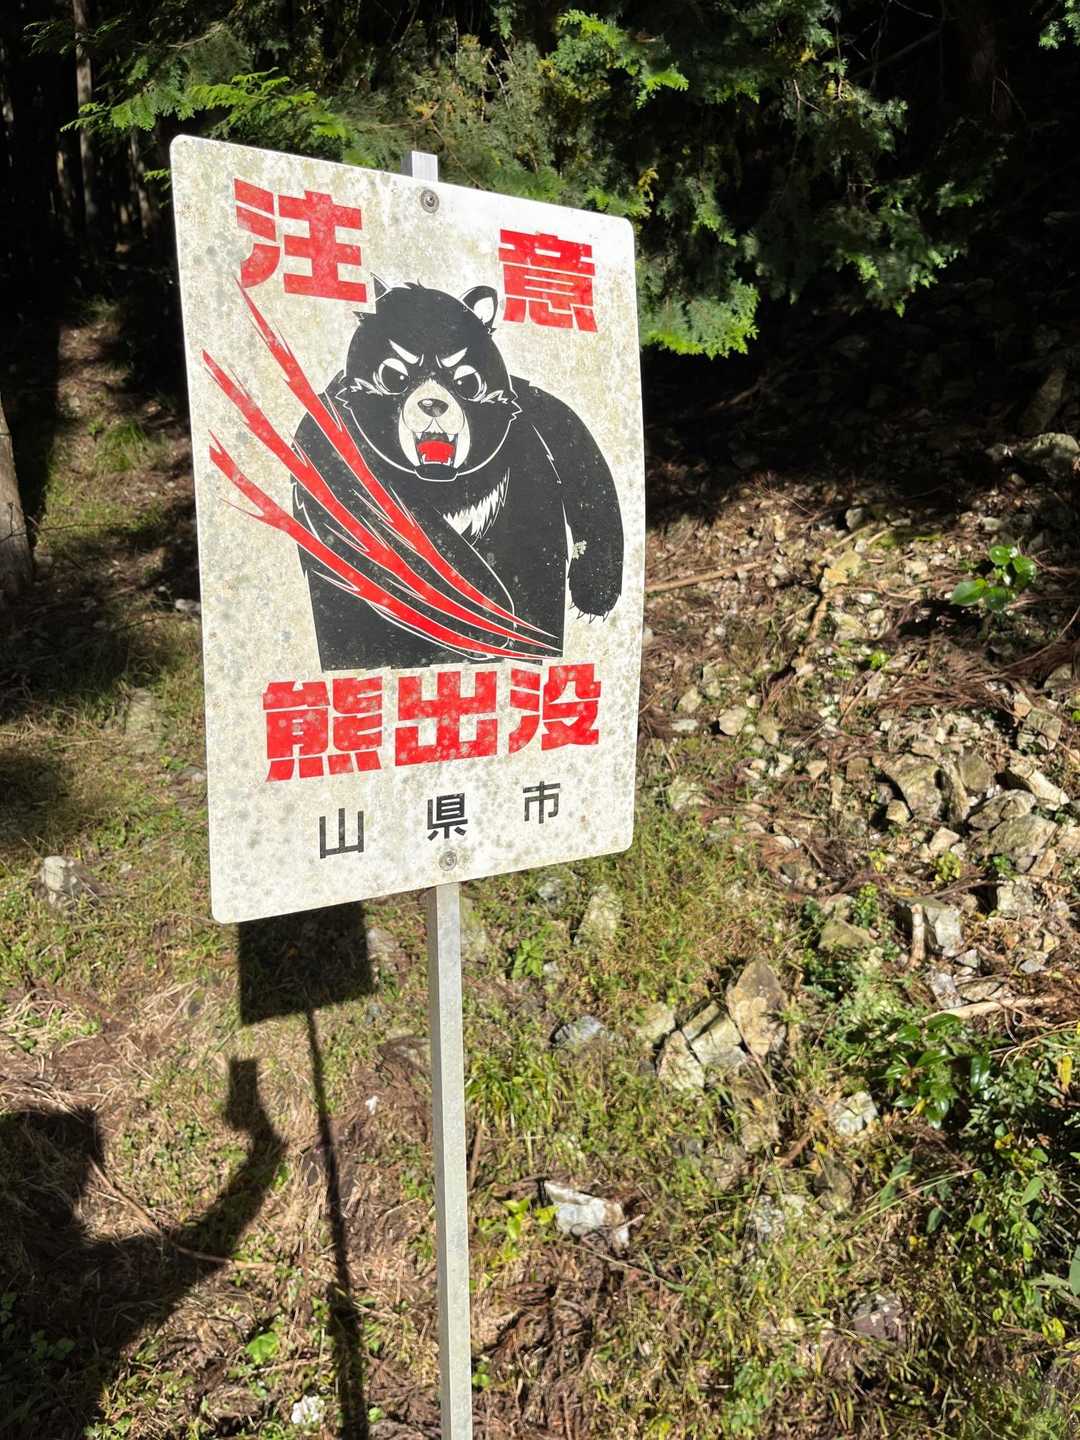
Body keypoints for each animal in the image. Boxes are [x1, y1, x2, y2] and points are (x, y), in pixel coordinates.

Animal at [290, 279, 624, 670]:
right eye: (394, 377)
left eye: (466, 382)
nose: (432, 403)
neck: (442, 484)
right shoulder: (326, 443)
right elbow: (392, 531)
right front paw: (486, 619)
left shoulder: (537, 412)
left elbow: (584, 464)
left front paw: (593, 588)